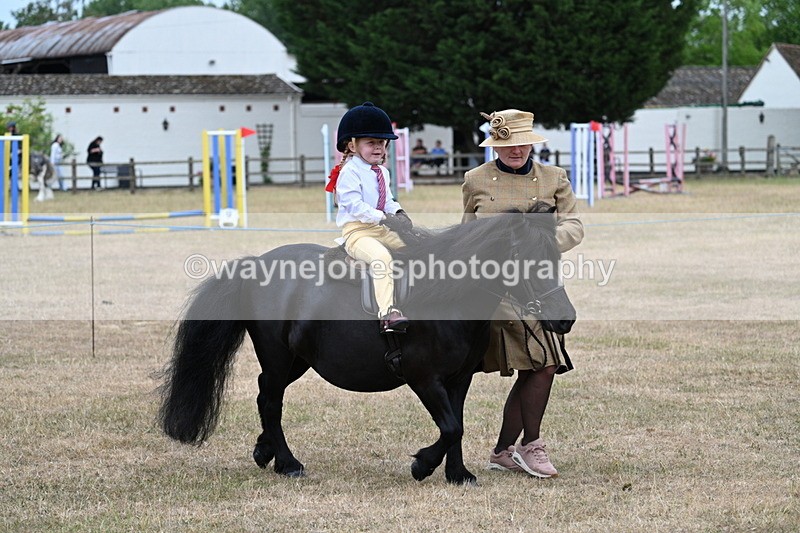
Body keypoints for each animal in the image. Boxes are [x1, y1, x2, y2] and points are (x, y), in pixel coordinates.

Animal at [157, 202, 576, 485]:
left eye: (556, 255)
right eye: (527, 258)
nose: (565, 319)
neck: (447, 299)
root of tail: (256, 263)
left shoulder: (459, 380)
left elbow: (457, 425)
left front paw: (458, 474)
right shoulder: (424, 379)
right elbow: (449, 427)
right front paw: (422, 465)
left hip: (297, 361)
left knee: (265, 395)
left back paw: (266, 452)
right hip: (278, 358)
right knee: (271, 401)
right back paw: (289, 464)